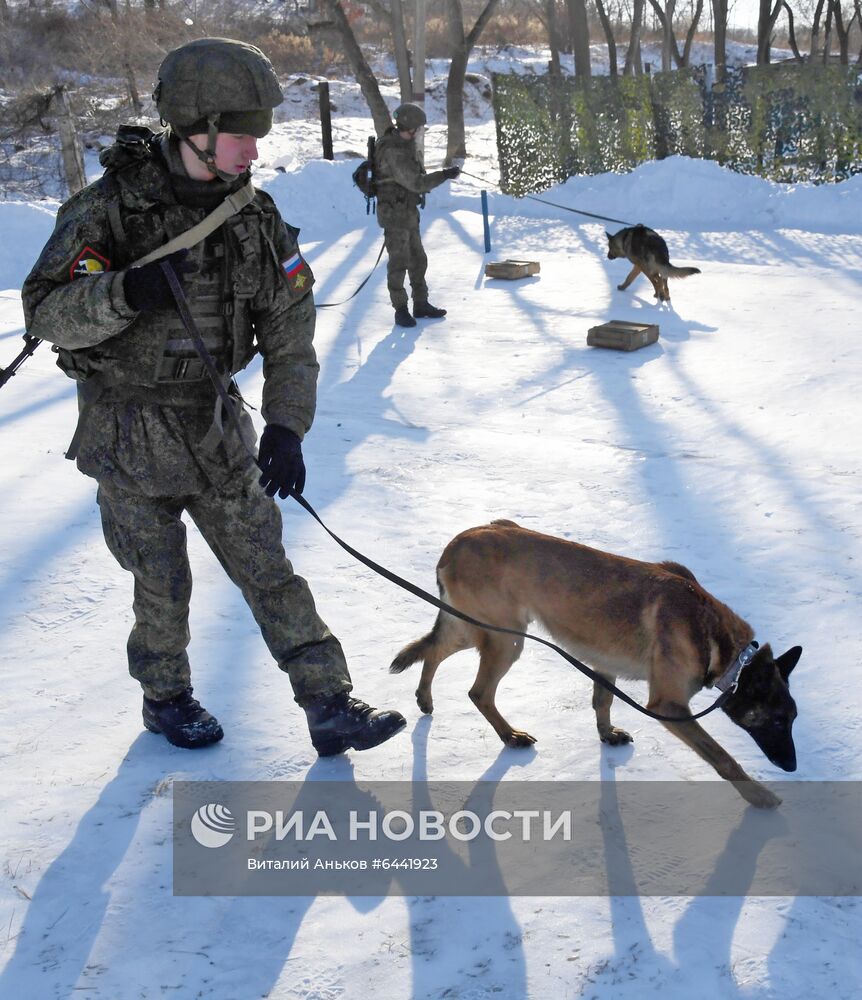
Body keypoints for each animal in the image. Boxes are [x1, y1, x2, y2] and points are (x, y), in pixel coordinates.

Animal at [392, 520, 804, 808]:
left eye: (792, 719)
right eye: (778, 720)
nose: (793, 768)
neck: (725, 648)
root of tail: (459, 540)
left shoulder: (605, 665)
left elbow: (602, 701)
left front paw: (606, 734)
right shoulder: (670, 707)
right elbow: (723, 757)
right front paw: (759, 797)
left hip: (475, 628)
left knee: (432, 649)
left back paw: (425, 698)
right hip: (506, 639)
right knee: (478, 692)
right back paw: (509, 735)